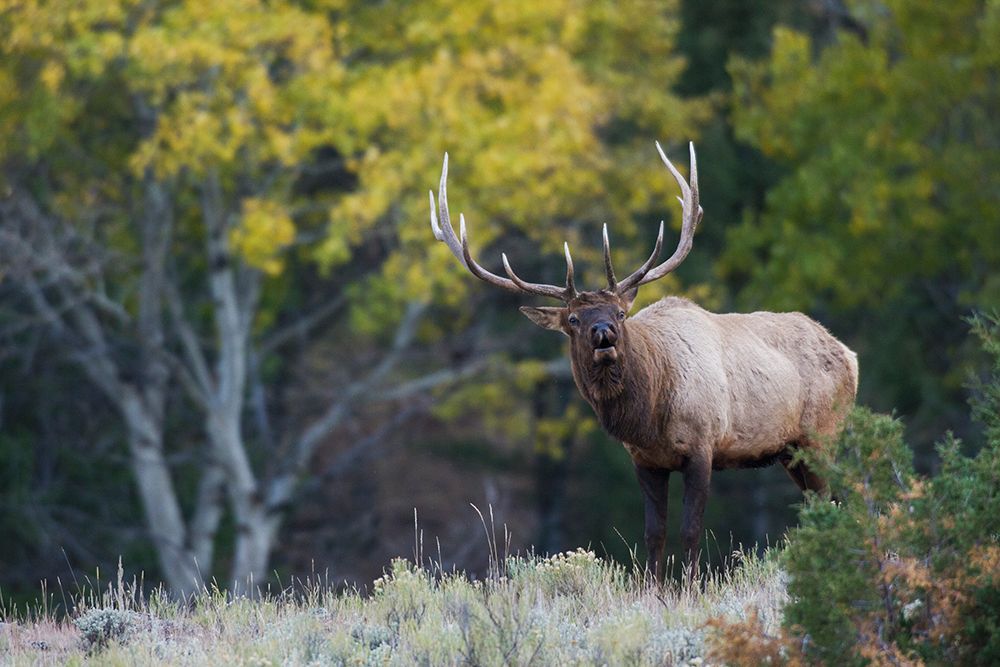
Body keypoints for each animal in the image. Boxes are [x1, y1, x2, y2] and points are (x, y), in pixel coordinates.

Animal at [428, 142, 858, 582]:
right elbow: (654, 533)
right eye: (573, 320)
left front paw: (689, 587)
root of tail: (850, 354)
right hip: (791, 450)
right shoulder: (645, 460)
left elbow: (690, 530)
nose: (604, 333)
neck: (650, 415)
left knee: (836, 497)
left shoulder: (703, 444)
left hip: (823, 432)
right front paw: (653, 588)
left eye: (619, 312)